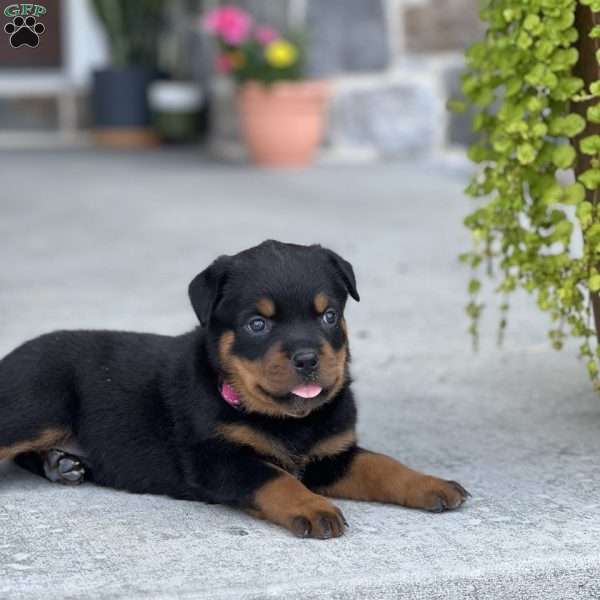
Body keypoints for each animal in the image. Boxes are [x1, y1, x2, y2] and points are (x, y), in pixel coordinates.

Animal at [0, 240, 468, 540]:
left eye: (329, 316)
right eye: (256, 324)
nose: (307, 358)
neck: (290, 421)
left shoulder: (331, 456)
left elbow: (382, 464)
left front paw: (431, 484)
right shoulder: (219, 458)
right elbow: (275, 478)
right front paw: (313, 508)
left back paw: (60, 463)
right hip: (39, 405)